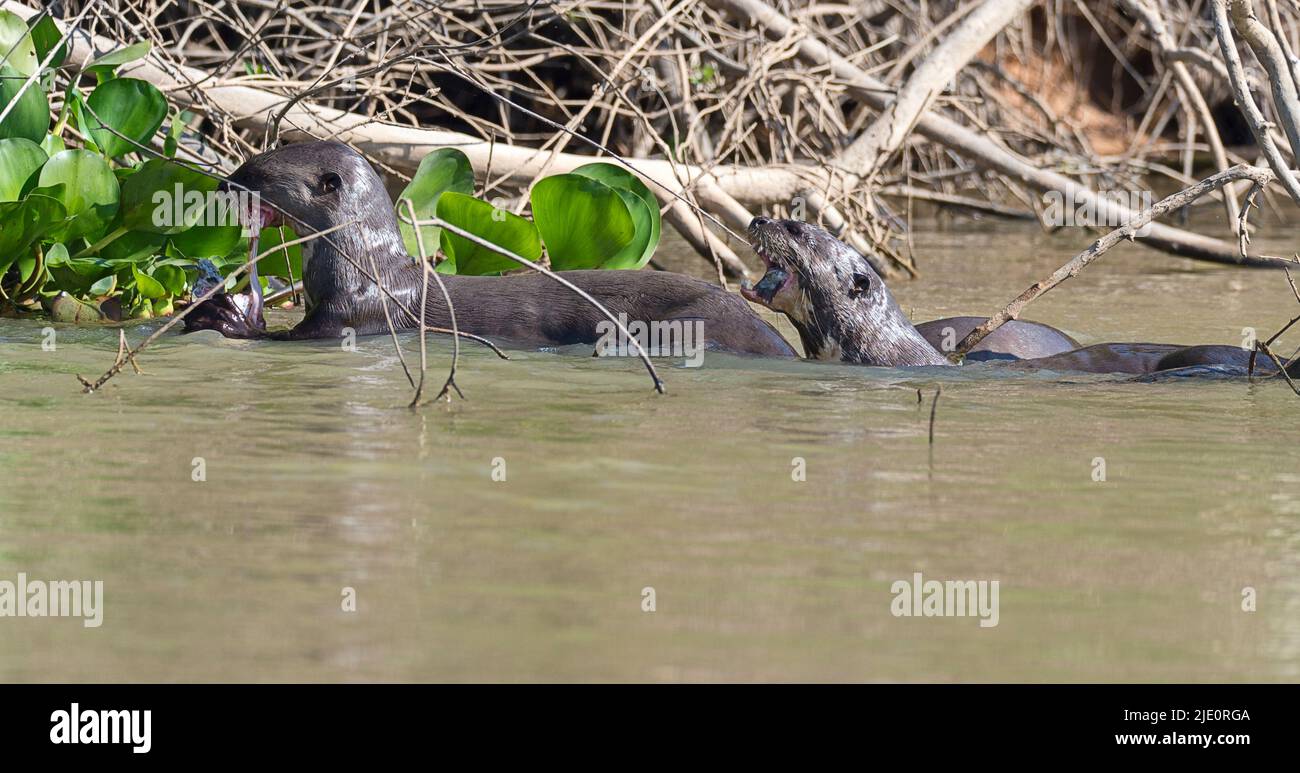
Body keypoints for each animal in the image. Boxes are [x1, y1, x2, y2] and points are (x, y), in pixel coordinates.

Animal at [183, 142, 796, 358]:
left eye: (257, 170)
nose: (225, 182)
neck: (366, 267)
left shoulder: (351, 315)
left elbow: (288, 339)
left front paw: (221, 318)